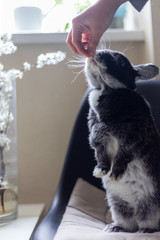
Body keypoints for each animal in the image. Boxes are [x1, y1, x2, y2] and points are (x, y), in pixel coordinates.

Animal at [84, 49, 160, 233]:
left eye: (120, 60)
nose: (95, 53)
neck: (107, 90)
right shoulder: (98, 139)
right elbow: (101, 155)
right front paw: (100, 171)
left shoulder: (132, 137)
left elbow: (123, 155)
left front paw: (115, 175)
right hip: (118, 206)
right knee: (128, 224)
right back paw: (115, 228)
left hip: (151, 207)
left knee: (148, 221)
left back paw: (146, 230)